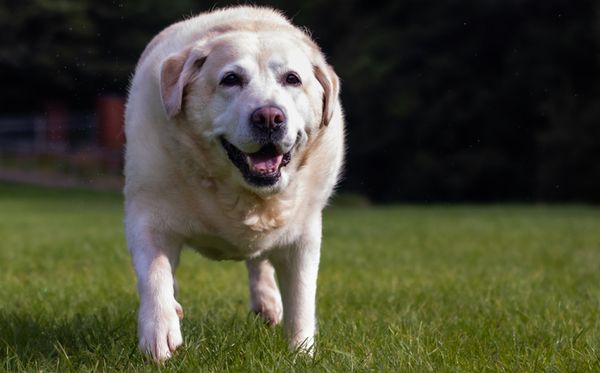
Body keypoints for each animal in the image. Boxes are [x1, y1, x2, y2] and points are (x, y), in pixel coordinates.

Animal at [123, 6, 342, 360]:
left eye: (292, 79)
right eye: (231, 79)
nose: (269, 117)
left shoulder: (304, 233)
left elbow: (301, 298)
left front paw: (301, 352)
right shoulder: (146, 213)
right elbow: (154, 272)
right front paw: (160, 331)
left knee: (260, 261)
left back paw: (267, 302)